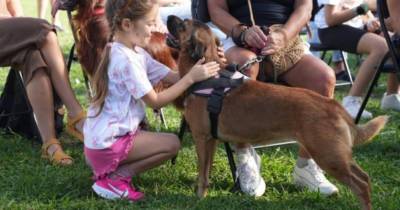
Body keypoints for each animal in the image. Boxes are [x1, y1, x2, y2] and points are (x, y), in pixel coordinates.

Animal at [168, 15, 388, 210]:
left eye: (183, 24)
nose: (169, 17)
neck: (209, 74)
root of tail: (332, 105)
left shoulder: (201, 138)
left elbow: (202, 173)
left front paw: (198, 198)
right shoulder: (211, 140)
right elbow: (206, 173)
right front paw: (203, 195)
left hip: (328, 156)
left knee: (360, 184)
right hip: (337, 155)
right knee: (365, 178)